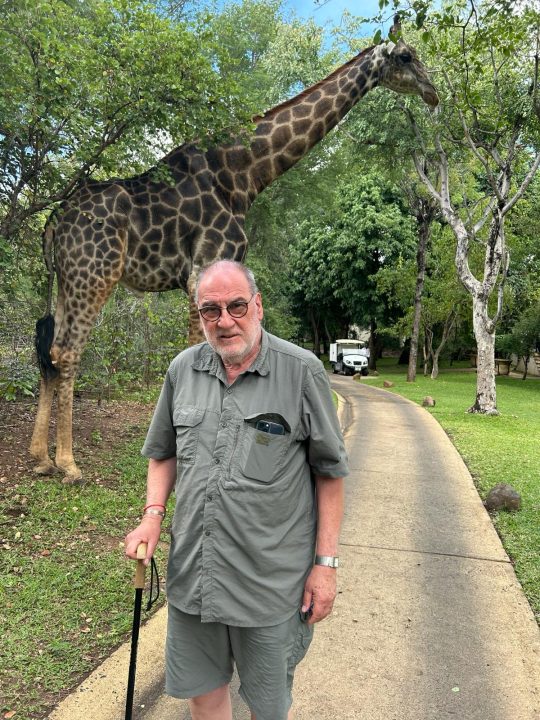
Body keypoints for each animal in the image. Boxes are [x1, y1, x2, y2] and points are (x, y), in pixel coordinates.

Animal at [30, 35, 438, 482]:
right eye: (406, 57)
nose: (433, 93)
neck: (246, 174)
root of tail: (53, 223)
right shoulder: (204, 266)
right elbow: (199, 354)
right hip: (95, 274)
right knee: (67, 352)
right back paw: (68, 464)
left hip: (67, 280)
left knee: (48, 351)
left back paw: (40, 459)